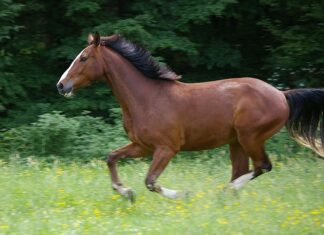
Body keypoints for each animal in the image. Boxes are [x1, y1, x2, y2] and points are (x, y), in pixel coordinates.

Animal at [57, 32, 324, 202]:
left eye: (84, 58)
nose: (61, 85)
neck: (147, 98)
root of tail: (281, 94)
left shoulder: (166, 148)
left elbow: (150, 181)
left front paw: (182, 195)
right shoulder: (142, 146)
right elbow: (111, 157)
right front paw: (126, 193)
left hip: (251, 137)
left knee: (262, 166)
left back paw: (224, 192)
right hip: (236, 142)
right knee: (244, 170)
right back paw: (227, 197)